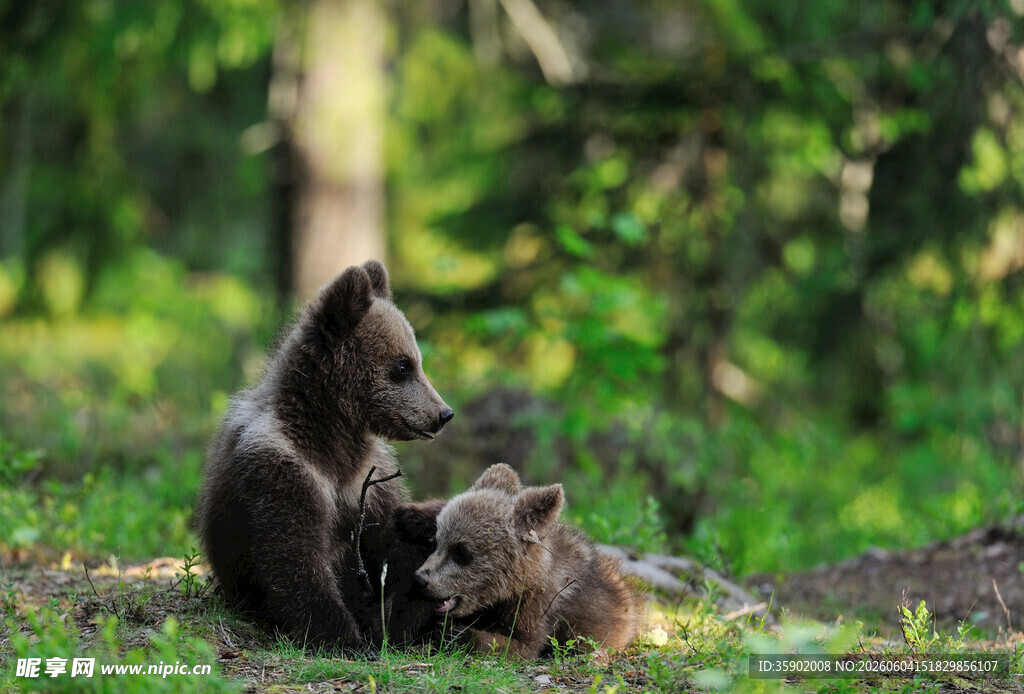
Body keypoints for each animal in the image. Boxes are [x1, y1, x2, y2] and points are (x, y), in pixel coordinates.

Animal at [195, 259, 453, 651]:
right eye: (403, 365)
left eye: (417, 361)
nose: (443, 413)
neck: (331, 437)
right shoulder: (280, 468)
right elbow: (294, 558)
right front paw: (344, 635)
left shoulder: (370, 481)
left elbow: (395, 543)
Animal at [411, 464, 642, 659]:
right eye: (436, 542)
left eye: (461, 552)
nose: (420, 579)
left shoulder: (538, 607)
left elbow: (523, 646)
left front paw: (456, 634)